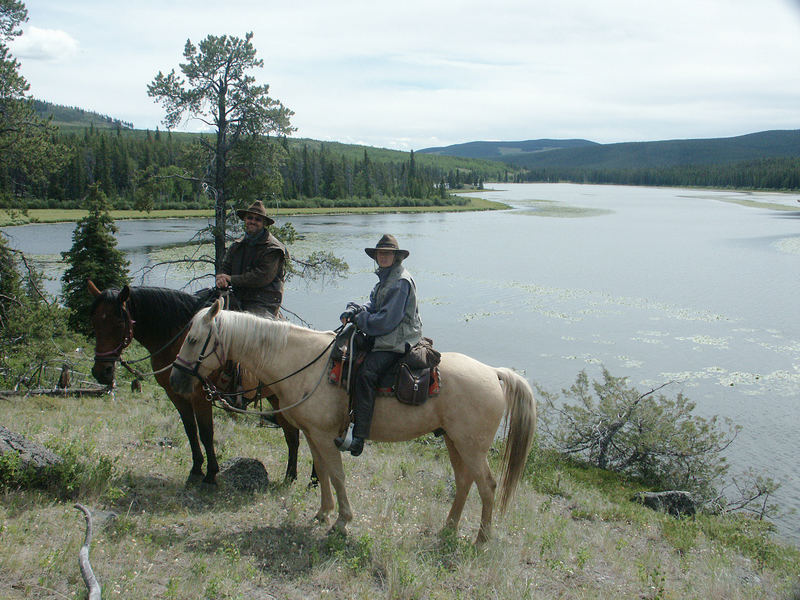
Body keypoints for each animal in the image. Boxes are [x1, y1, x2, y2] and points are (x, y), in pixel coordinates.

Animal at [88, 282, 312, 488]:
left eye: (119, 321)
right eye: (95, 321)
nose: (101, 372)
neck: (176, 338)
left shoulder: (200, 395)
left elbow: (206, 432)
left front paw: (211, 474)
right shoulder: (175, 394)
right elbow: (190, 430)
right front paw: (196, 468)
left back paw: (310, 480)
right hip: (277, 399)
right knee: (292, 436)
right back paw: (291, 476)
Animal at [170, 300, 536, 544]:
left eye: (193, 340)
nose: (175, 380)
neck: (304, 363)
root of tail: (494, 373)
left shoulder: (324, 435)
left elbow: (338, 475)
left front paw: (342, 521)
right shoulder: (314, 434)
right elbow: (324, 473)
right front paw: (323, 513)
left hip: (471, 447)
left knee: (487, 486)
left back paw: (481, 539)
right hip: (454, 441)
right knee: (464, 483)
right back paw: (448, 528)